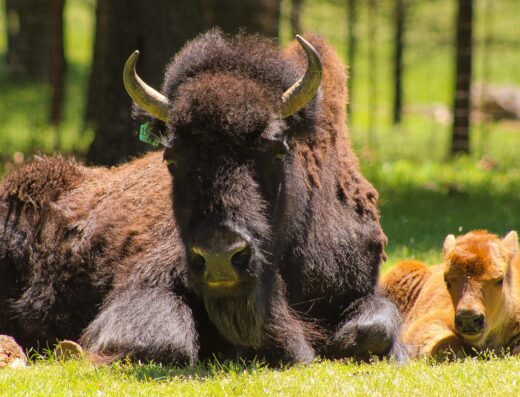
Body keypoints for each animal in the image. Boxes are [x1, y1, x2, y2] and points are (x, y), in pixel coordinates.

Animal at [0, 30, 406, 366]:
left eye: (276, 150)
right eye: (172, 157)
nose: (220, 257)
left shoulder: (358, 284)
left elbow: (375, 329)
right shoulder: (145, 287)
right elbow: (164, 343)